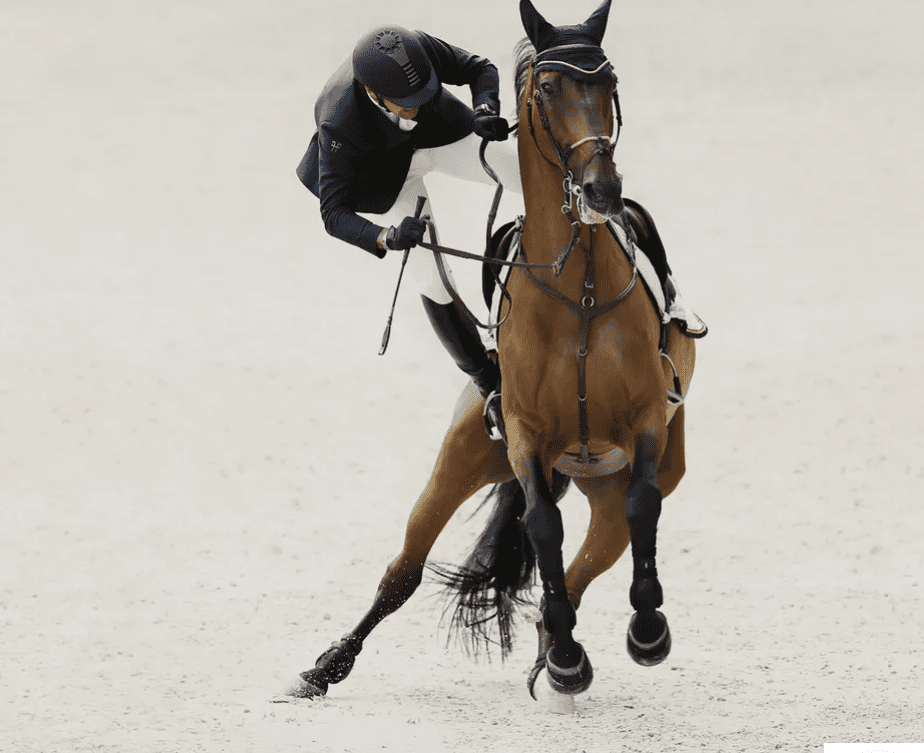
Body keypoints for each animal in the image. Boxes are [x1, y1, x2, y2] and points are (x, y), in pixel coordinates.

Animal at [288, 0, 697, 701]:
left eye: (610, 84)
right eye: (549, 89)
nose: (601, 191)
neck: (579, 290)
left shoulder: (646, 419)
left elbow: (640, 509)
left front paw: (646, 632)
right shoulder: (528, 435)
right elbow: (542, 526)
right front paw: (575, 652)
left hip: (609, 485)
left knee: (591, 558)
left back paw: (556, 654)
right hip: (461, 460)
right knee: (405, 569)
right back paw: (327, 666)